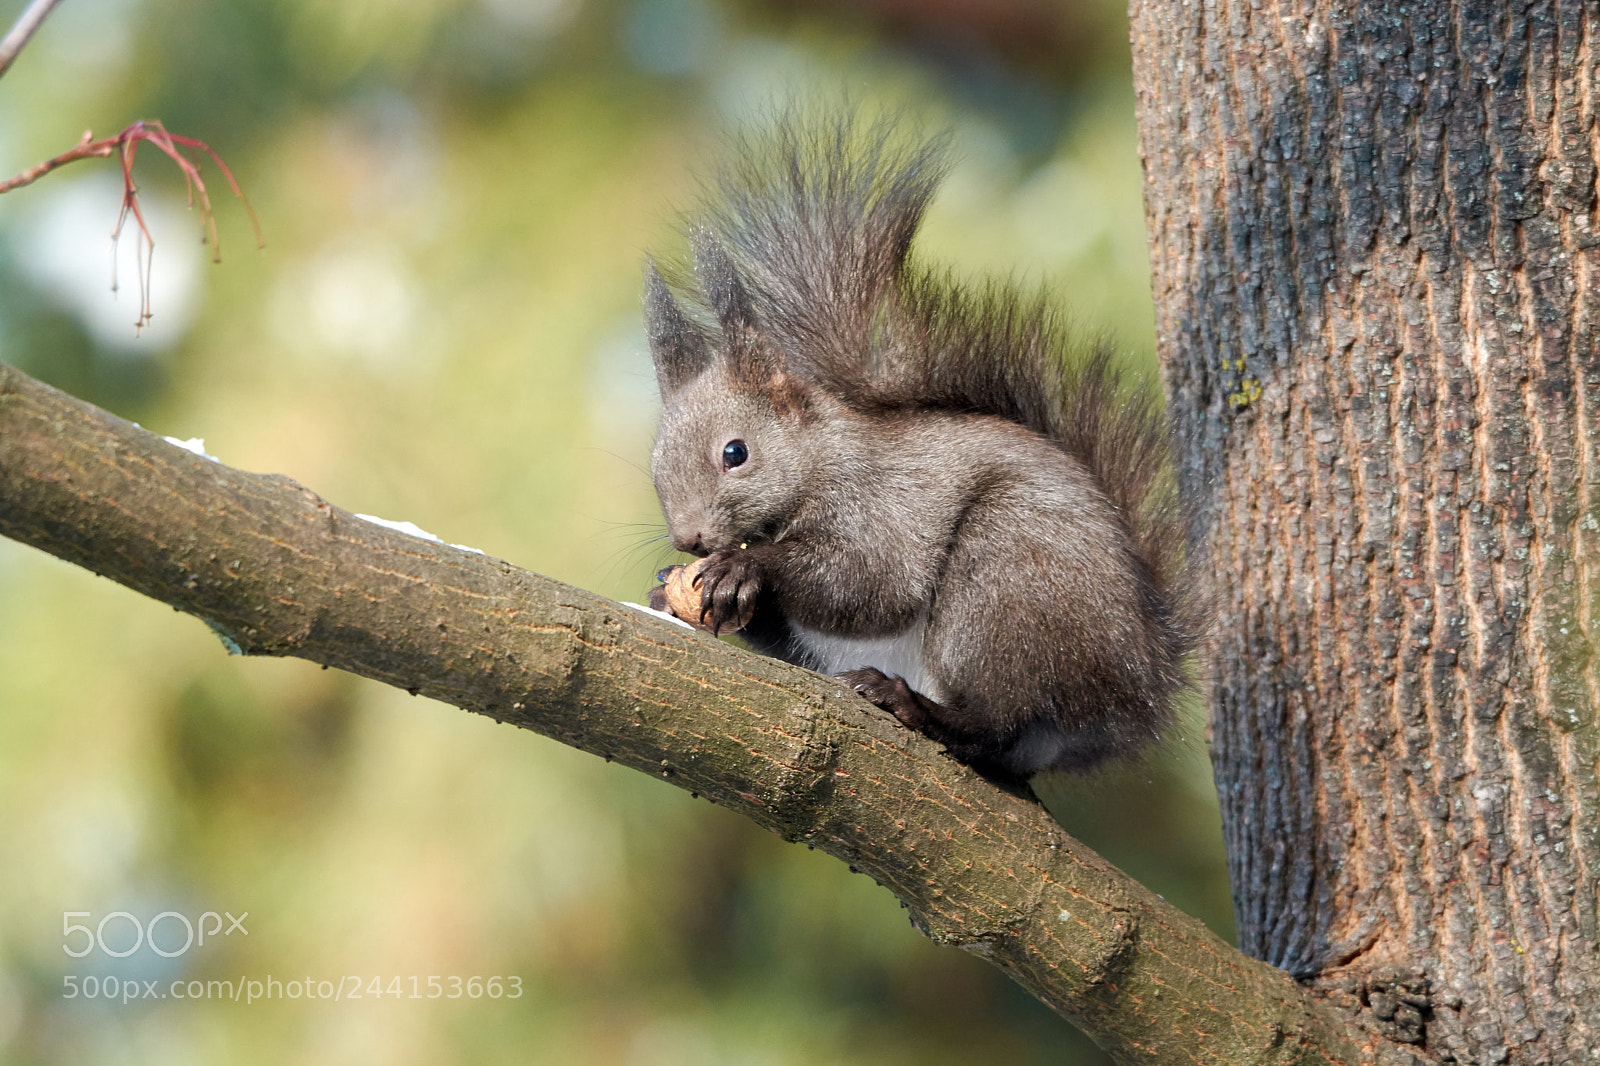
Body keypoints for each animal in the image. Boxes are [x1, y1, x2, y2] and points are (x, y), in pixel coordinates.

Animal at [644, 115, 1200, 786]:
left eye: (735, 453)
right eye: (654, 469)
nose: (689, 540)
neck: (819, 460)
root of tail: (1141, 686)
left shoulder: (881, 502)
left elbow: (875, 583)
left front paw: (748, 568)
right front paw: (668, 589)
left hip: (1007, 579)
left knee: (997, 721)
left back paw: (916, 706)